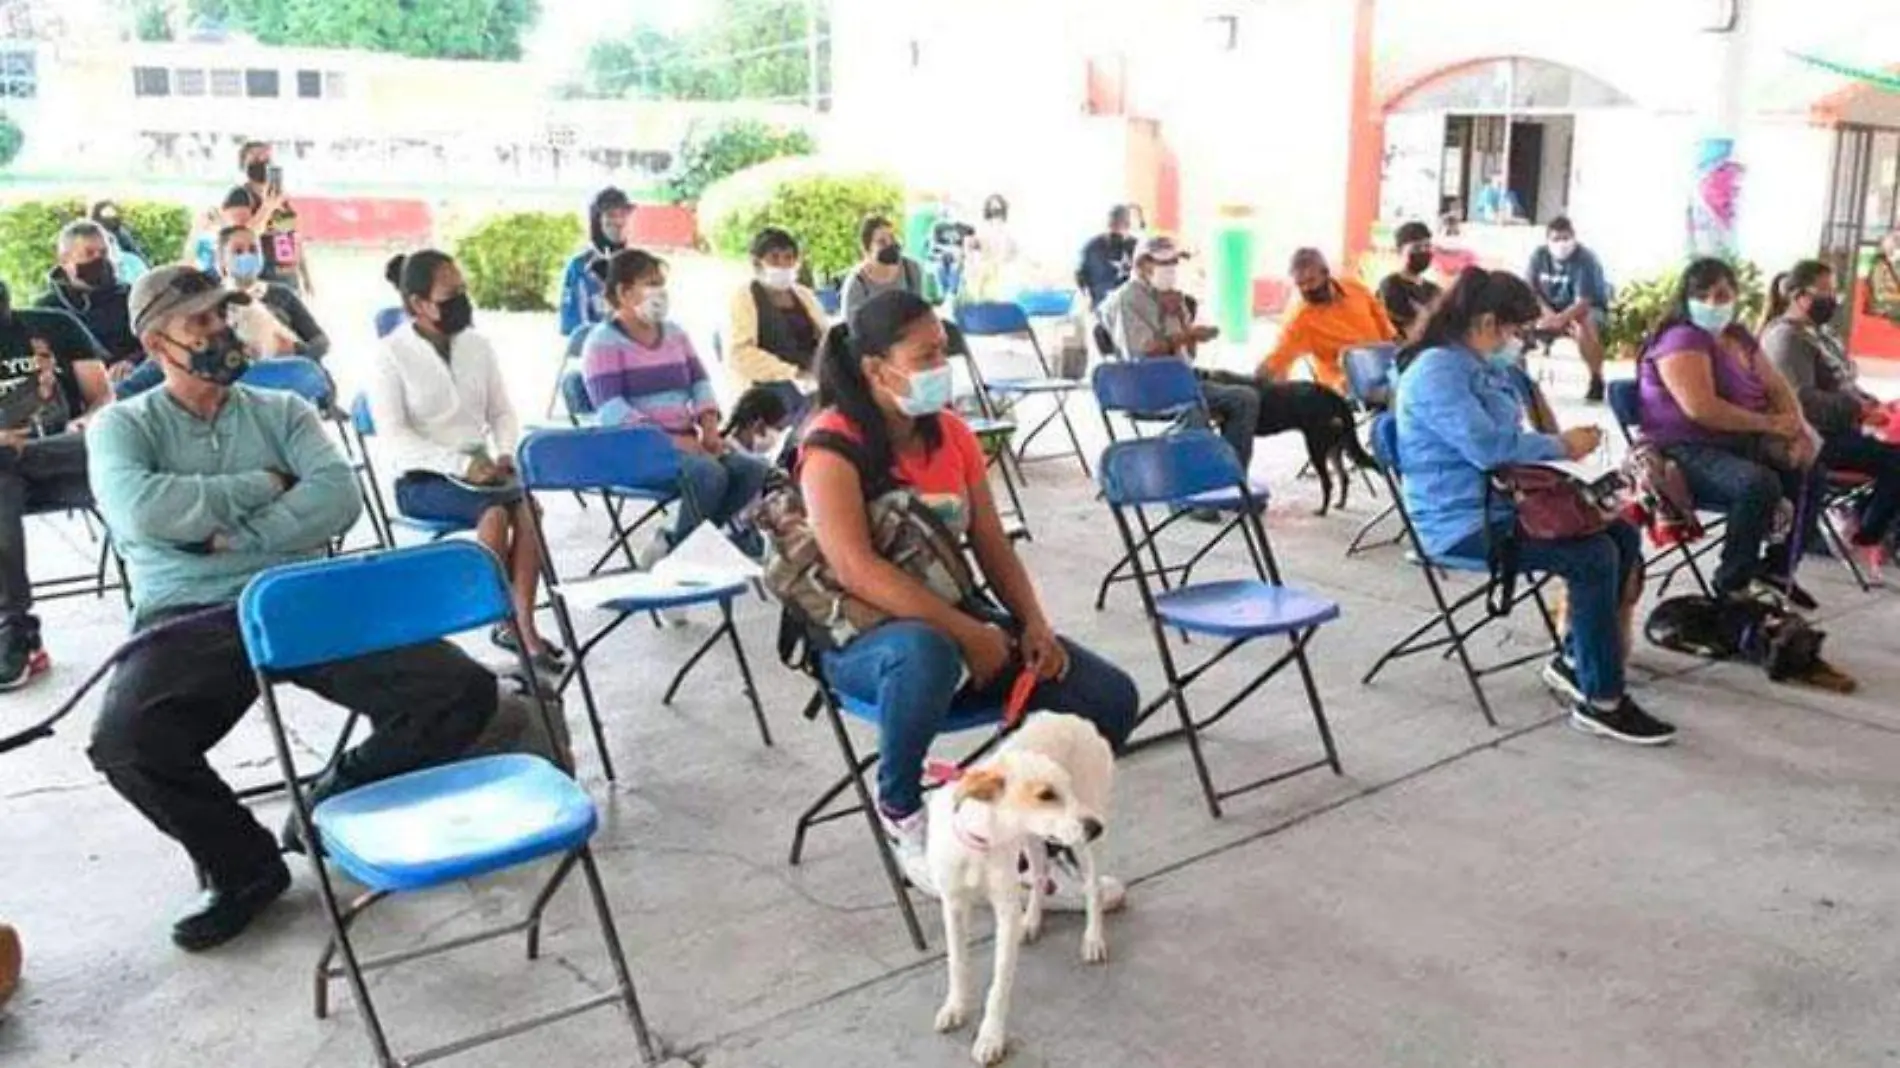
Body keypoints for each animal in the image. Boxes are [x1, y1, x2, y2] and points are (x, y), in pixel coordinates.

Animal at [923, 706, 1109, 1064]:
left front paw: (990, 1037)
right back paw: (1033, 921)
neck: (979, 844)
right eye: (1046, 795)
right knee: (1039, 874)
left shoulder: (1006, 912)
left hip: (1078, 838)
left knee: (1092, 885)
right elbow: (957, 962)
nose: (1096, 827)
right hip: (1034, 837)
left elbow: (999, 984)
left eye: (1066, 789)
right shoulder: (953, 906)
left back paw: (1093, 939)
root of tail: (1074, 718)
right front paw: (955, 1007)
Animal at [1208, 368, 1375, 513]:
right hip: (1334, 447)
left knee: (1328, 482)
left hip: (1316, 446)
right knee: (1343, 477)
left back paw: (1322, 510)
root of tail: (1335, 397)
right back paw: (1340, 504)